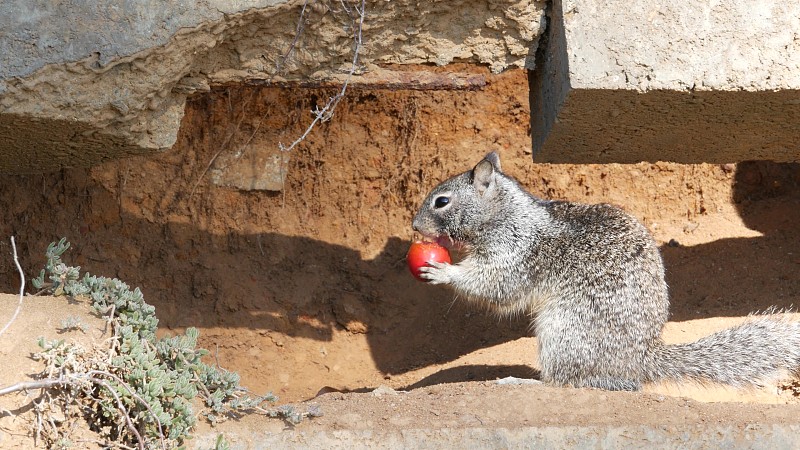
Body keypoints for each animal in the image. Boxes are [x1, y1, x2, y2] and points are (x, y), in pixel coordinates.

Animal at [412, 151, 800, 390]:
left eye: (442, 201)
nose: (415, 227)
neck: (505, 213)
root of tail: (640, 360)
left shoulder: (514, 251)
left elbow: (495, 286)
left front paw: (442, 271)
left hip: (564, 331)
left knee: (566, 381)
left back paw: (521, 382)